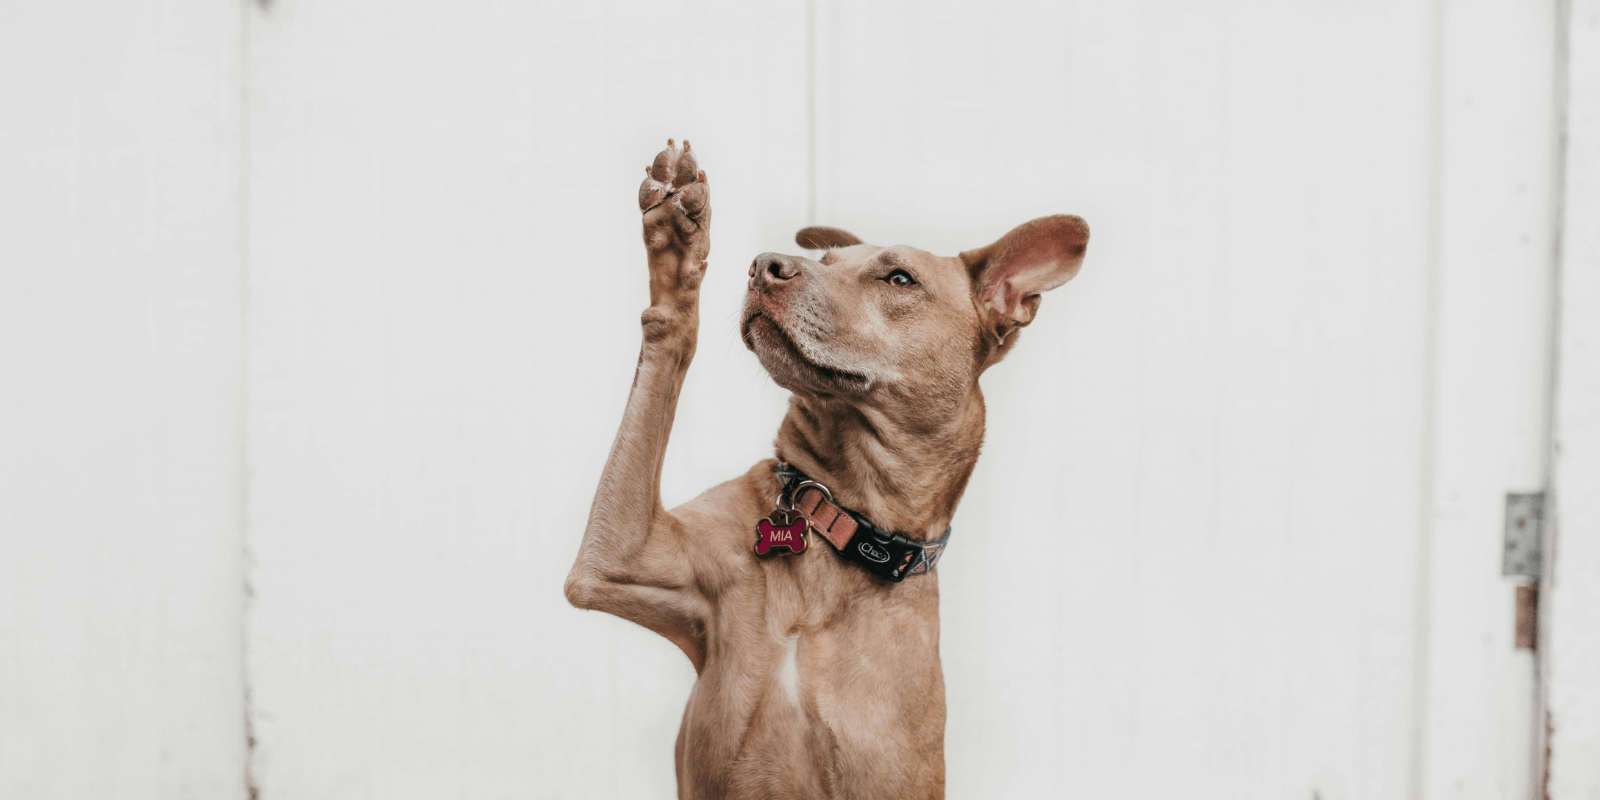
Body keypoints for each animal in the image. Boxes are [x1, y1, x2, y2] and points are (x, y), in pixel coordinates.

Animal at [563, 140, 1088, 796]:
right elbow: (667, 342)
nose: (764, 265)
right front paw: (676, 246)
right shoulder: (616, 559)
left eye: (898, 278)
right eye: (827, 259)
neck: (839, 521)